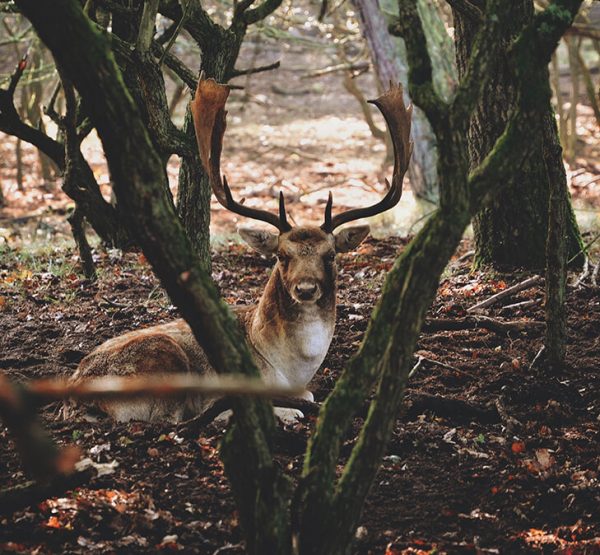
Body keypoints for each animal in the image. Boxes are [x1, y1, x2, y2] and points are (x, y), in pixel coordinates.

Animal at [65, 78, 412, 424]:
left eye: (330, 255)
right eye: (282, 255)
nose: (305, 288)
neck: (289, 370)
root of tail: (75, 396)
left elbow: (310, 394)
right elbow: (292, 405)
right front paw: (281, 410)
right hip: (162, 359)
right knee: (177, 417)